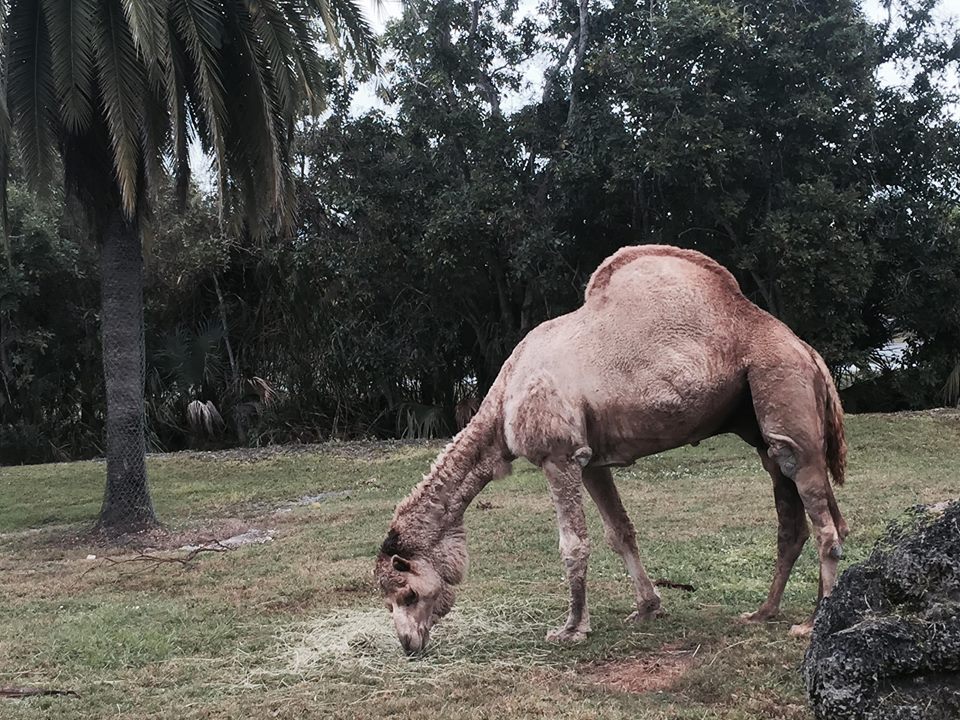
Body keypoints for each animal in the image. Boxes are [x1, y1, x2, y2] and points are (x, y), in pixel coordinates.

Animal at [375, 244, 848, 655]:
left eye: (407, 593)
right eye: (389, 599)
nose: (408, 644)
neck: (504, 402)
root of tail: (808, 351)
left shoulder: (560, 455)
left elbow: (573, 544)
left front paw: (571, 629)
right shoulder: (591, 462)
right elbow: (619, 531)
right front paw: (648, 608)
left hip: (781, 387)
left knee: (824, 523)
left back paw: (813, 623)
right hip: (761, 420)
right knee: (798, 520)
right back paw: (764, 612)